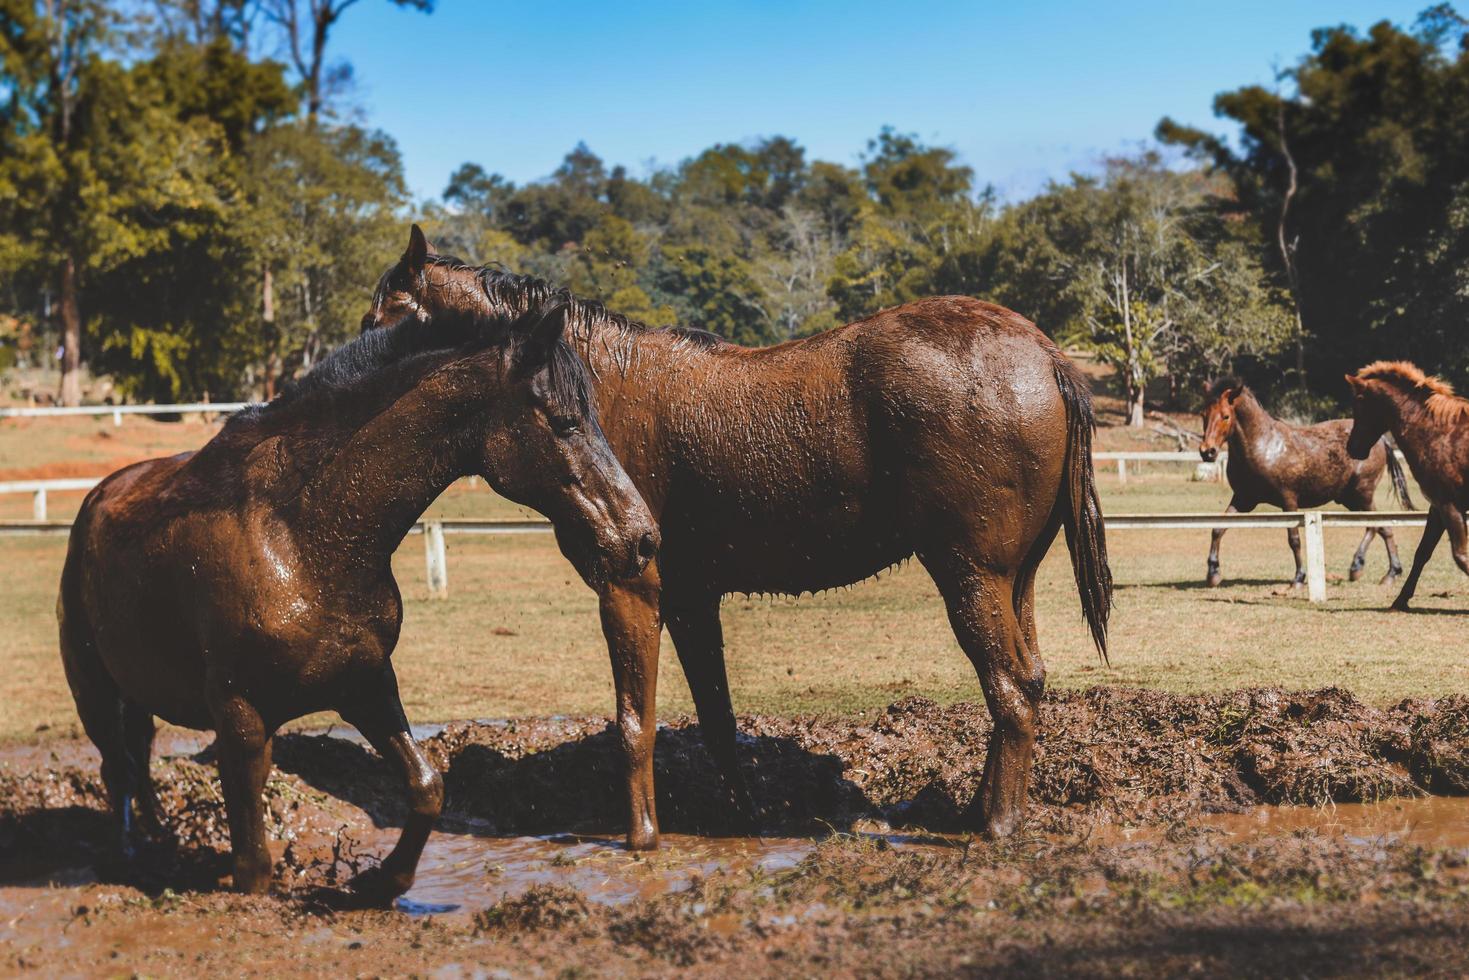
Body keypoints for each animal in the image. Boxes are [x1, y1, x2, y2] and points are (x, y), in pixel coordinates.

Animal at [55, 302, 655, 899]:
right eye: (564, 421)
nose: (642, 538)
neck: (300, 536)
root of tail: (96, 498)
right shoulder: (239, 715)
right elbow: (253, 868)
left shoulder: (366, 685)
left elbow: (426, 786)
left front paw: (380, 882)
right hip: (96, 695)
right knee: (117, 768)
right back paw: (130, 857)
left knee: (138, 762)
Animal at [361, 226, 1104, 846]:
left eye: (383, 321)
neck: (594, 387)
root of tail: (1043, 354)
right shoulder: (692, 599)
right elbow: (718, 722)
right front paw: (744, 821)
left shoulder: (629, 587)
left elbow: (634, 723)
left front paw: (641, 838)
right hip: (1015, 579)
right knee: (1029, 678)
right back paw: (981, 810)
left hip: (969, 574)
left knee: (1010, 688)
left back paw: (998, 826)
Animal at [1204, 379, 1410, 587]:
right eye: (1204, 414)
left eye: (1225, 416)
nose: (1207, 451)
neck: (1264, 446)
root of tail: (1382, 440)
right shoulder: (1244, 499)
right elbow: (1217, 529)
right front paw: (1213, 573)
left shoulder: (1288, 500)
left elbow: (1294, 539)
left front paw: (1299, 577)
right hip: (1351, 499)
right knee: (1381, 527)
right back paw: (1380, 570)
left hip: (1363, 494)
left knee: (1377, 526)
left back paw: (1373, 569)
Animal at [1345, 358, 1463, 605]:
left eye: (1358, 403)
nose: (1352, 447)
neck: (1439, 434)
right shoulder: (1439, 507)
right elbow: (1423, 552)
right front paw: (1401, 599)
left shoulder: (1450, 504)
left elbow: (1460, 554)